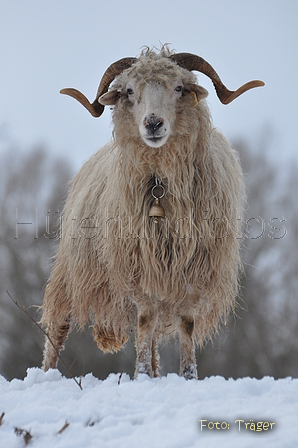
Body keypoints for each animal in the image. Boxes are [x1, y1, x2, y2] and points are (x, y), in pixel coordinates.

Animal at [40, 47, 264, 380]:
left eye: (179, 87)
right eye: (130, 91)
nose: (153, 123)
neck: (160, 183)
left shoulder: (192, 268)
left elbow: (186, 323)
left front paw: (187, 375)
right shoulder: (139, 264)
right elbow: (145, 319)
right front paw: (141, 374)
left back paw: (158, 373)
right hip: (72, 268)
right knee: (59, 325)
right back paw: (46, 375)